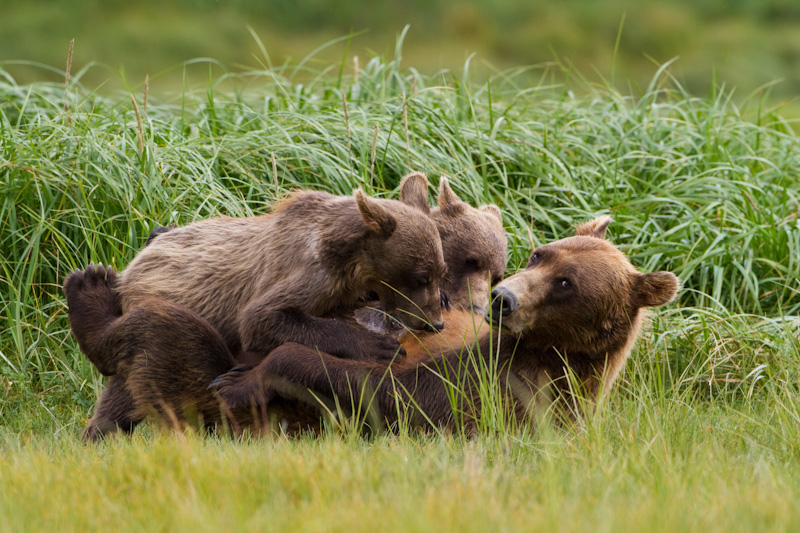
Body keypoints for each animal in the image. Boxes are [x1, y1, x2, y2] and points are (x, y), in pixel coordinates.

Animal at [214, 216, 680, 432]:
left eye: (567, 283)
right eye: (539, 254)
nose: (502, 298)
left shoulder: (507, 386)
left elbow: (402, 394)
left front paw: (239, 381)